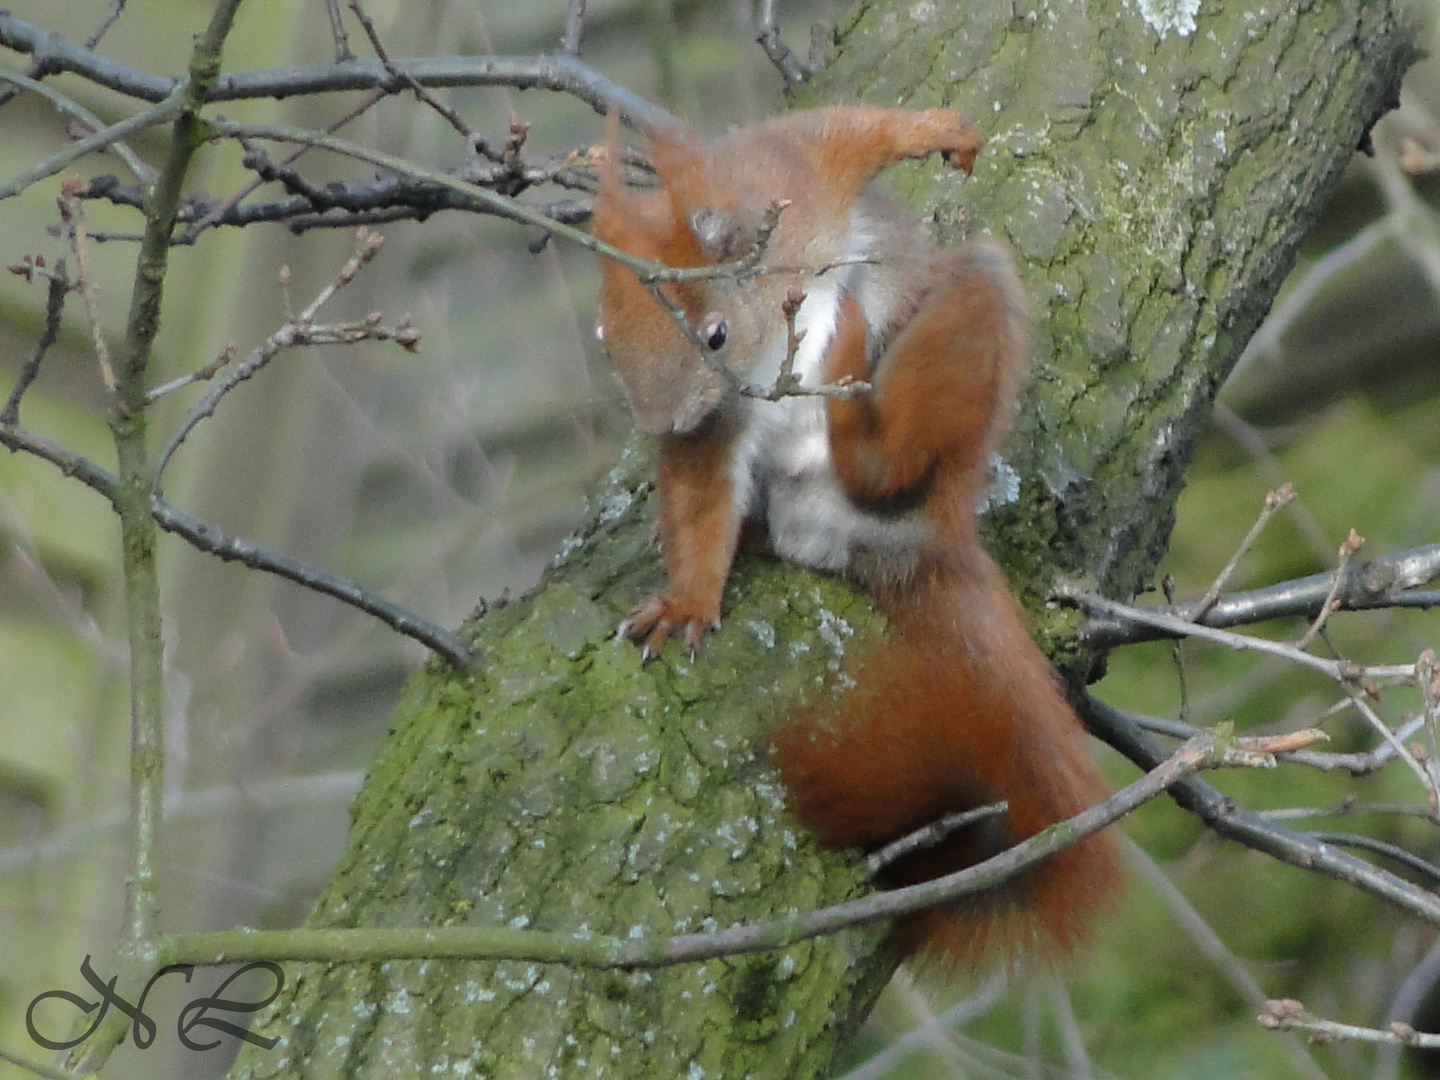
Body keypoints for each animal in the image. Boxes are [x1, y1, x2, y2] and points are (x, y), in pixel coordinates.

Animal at [590, 108, 1117, 973]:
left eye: (713, 335)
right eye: (605, 342)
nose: (662, 424)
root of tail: (931, 530)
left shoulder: (801, 182)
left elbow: (847, 132)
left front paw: (937, 132)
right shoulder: (716, 429)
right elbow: (699, 508)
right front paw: (687, 602)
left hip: (957, 343)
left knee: (900, 435)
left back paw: (854, 381)